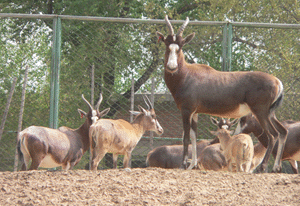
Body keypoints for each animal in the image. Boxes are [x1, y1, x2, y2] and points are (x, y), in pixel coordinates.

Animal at [156, 14, 288, 172]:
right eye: (167, 44)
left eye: (180, 46)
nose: (172, 67)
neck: (186, 74)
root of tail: (277, 81)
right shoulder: (194, 113)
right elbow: (194, 136)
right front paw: (191, 165)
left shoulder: (186, 111)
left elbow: (186, 137)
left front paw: (183, 165)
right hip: (270, 113)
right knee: (283, 131)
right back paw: (276, 167)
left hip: (260, 112)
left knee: (273, 135)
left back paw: (263, 167)